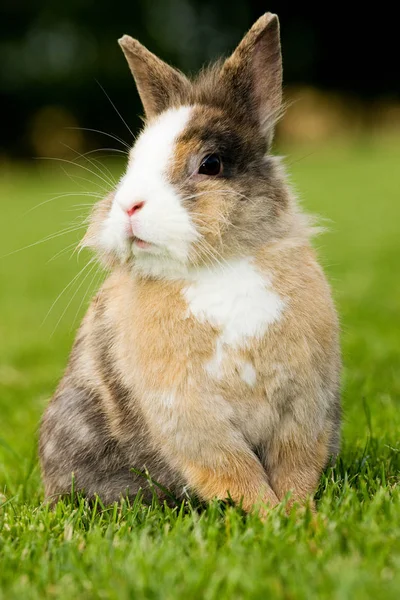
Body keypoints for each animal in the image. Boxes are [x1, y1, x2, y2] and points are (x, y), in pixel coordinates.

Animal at [39, 11, 340, 512]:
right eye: (132, 163)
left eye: (211, 164)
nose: (129, 207)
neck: (220, 267)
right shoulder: (191, 417)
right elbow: (235, 470)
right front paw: (269, 515)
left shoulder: (303, 405)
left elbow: (294, 465)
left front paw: (299, 515)